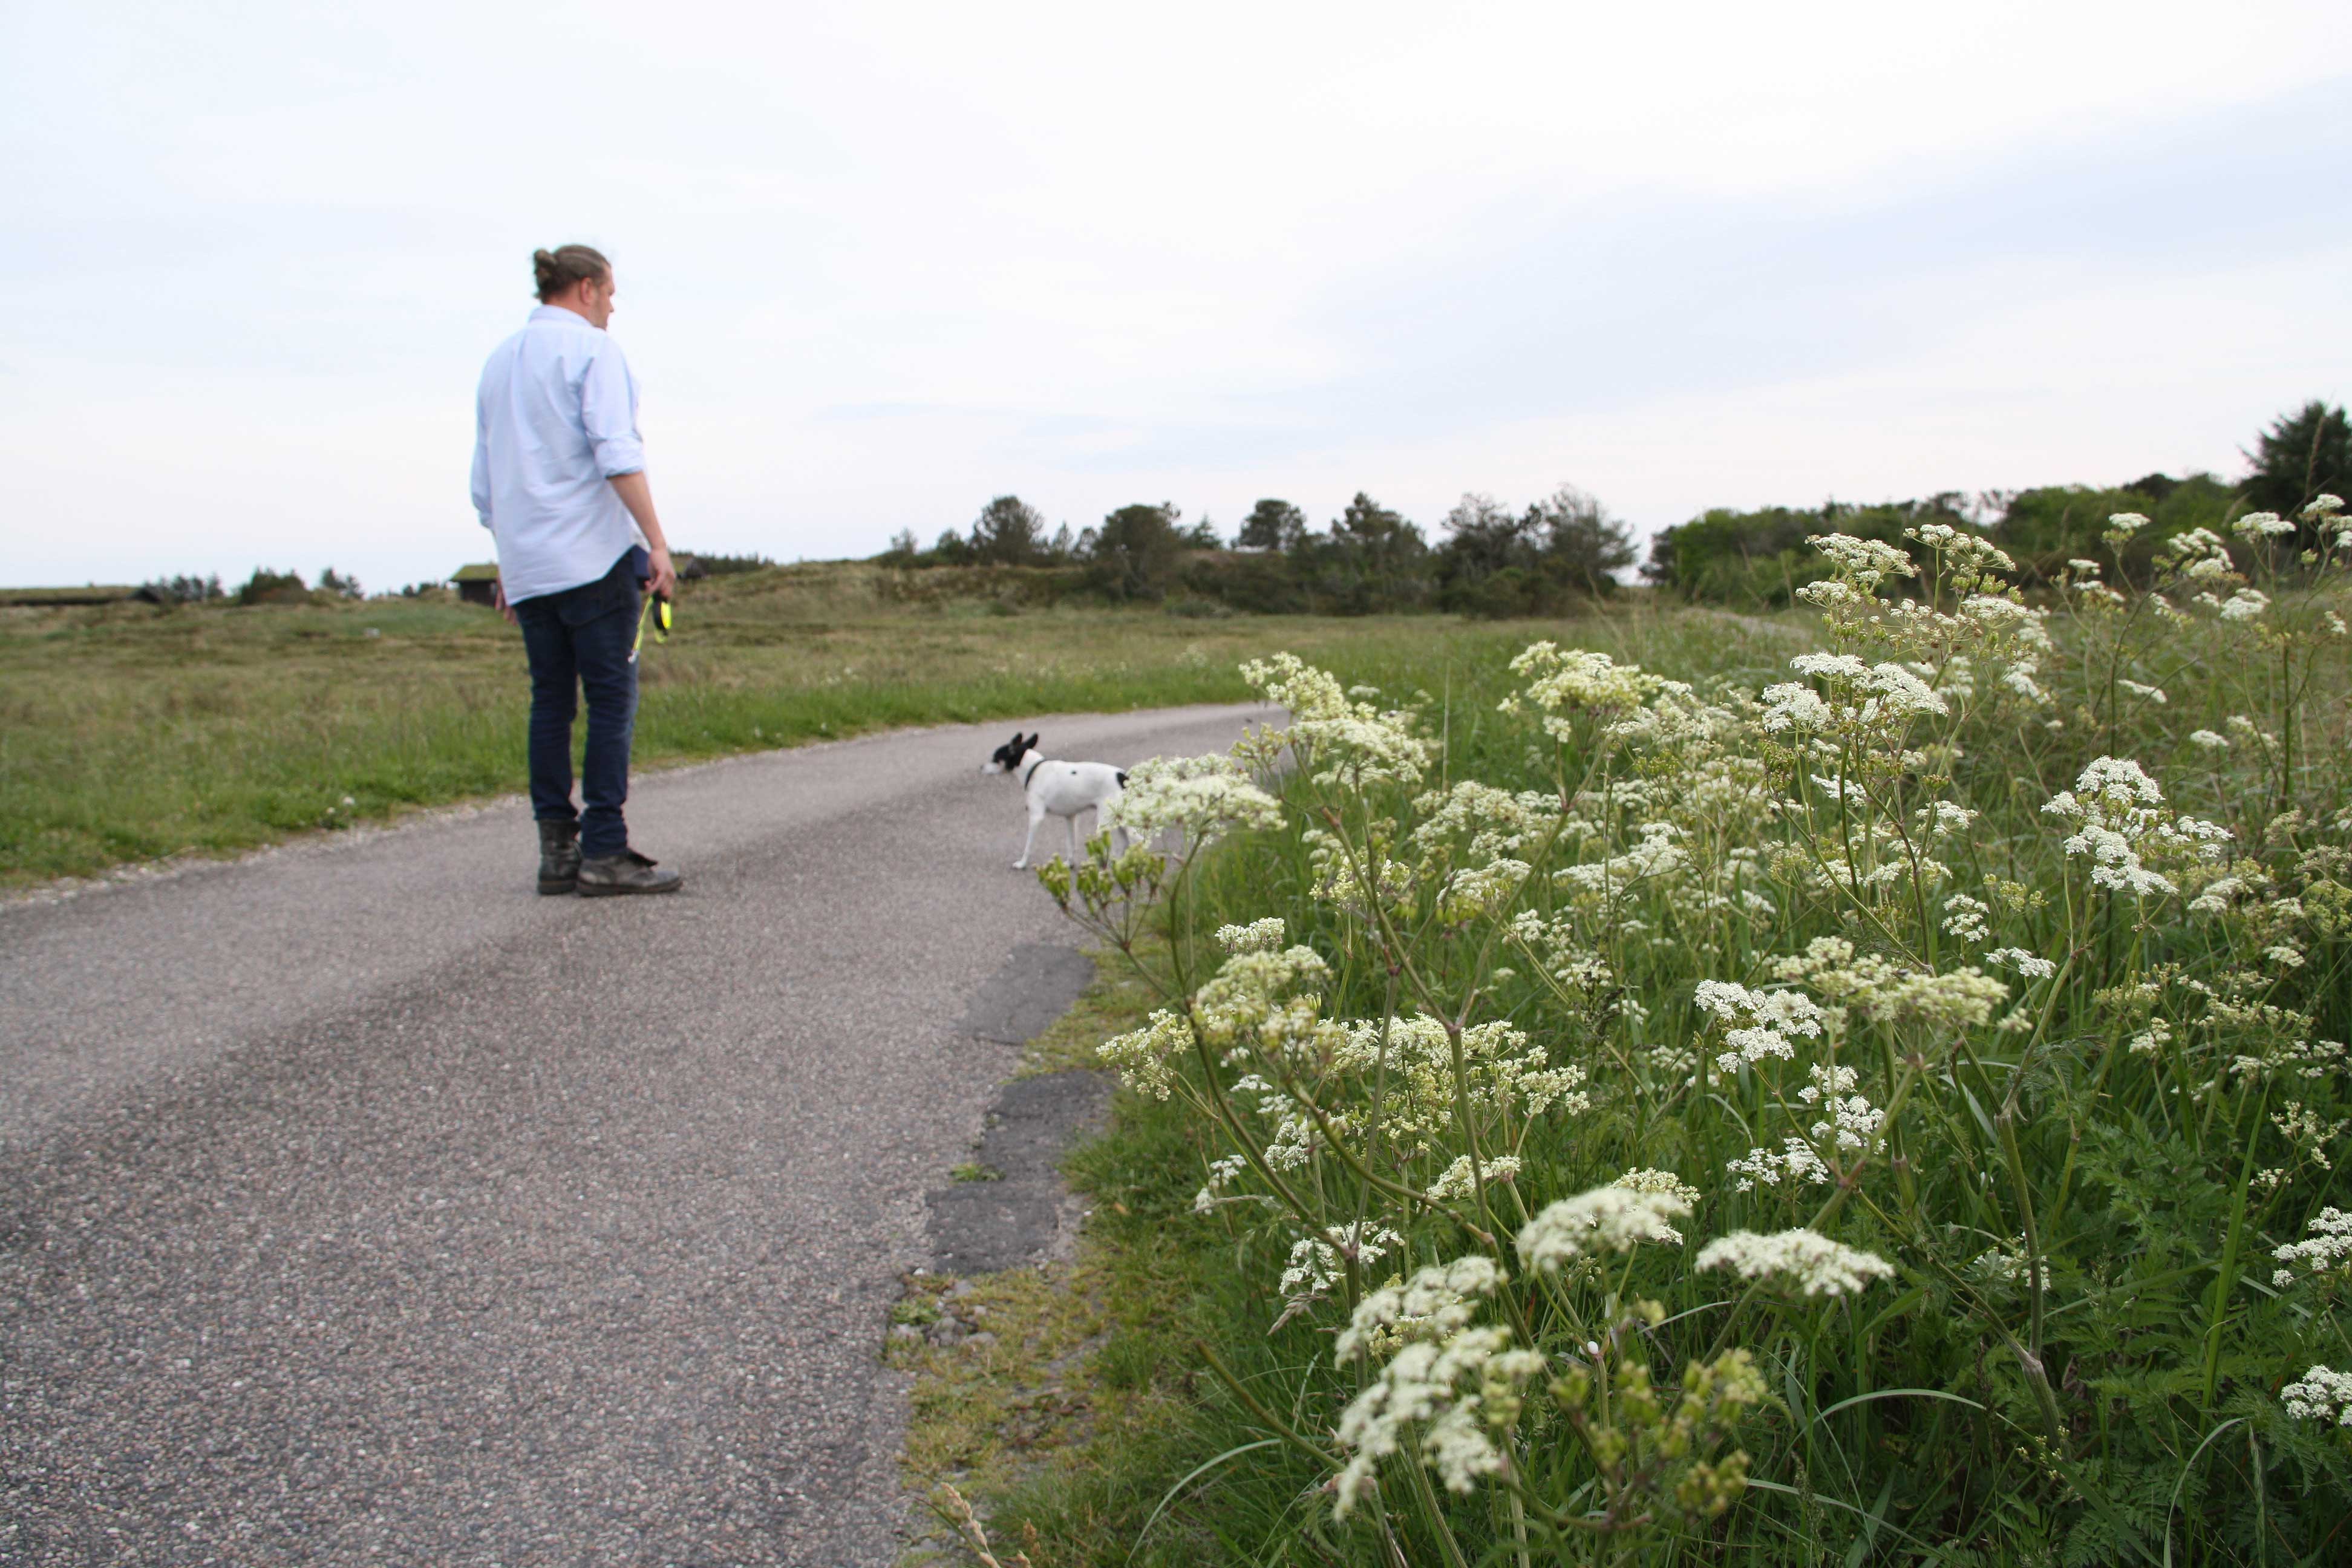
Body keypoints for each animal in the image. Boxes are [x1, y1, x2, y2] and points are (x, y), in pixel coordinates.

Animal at [983, 733, 1129, 869]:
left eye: (995, 758)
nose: (981, 767)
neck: (1033, 769)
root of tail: (1123, 777)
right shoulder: (1070, 817)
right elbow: (1071, 844)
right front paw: (1069, 864)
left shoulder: (1036, 818)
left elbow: (1028, 845)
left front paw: (1022, 864)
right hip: (1119, 821)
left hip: (1106, 823)